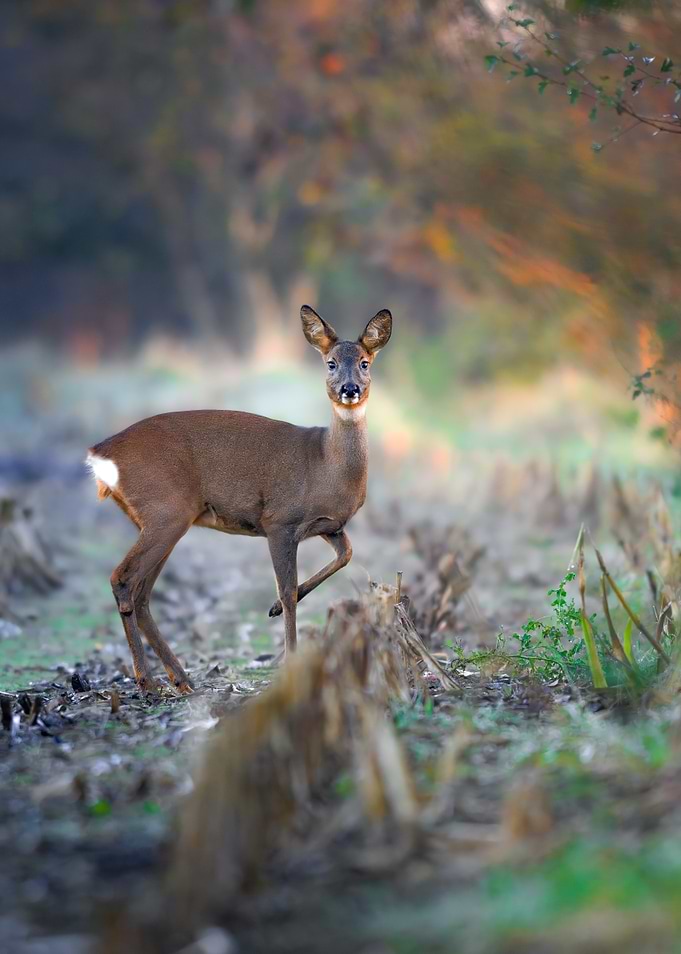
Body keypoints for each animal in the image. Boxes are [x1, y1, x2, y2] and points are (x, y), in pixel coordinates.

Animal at [85, 306, 392, 693]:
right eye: (331, 363)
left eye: (365, 362)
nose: (349, 389)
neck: (326, 464)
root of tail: (100, 454)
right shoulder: (280, 520)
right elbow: (288, 590)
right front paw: (288, 657)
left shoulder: (329, 525)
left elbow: (346, 555)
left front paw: (274, 609)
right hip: (165, 510)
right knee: (123, 580)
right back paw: (148, 682)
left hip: (162, 519)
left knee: (141, 593)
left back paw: (181, 679)